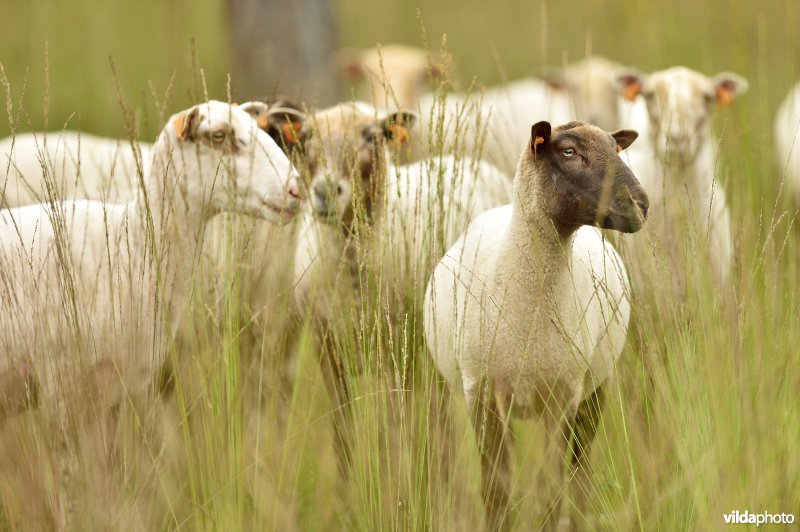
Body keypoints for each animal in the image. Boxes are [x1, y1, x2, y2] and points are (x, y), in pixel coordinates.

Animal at [422, 118, 648, 528]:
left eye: (616, 148)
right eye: (569, 151)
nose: (641, 204)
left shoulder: (564, 398)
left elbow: (552, 492)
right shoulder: (481, 393)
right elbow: (496, 491)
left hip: (596, 389)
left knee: (579, 476)